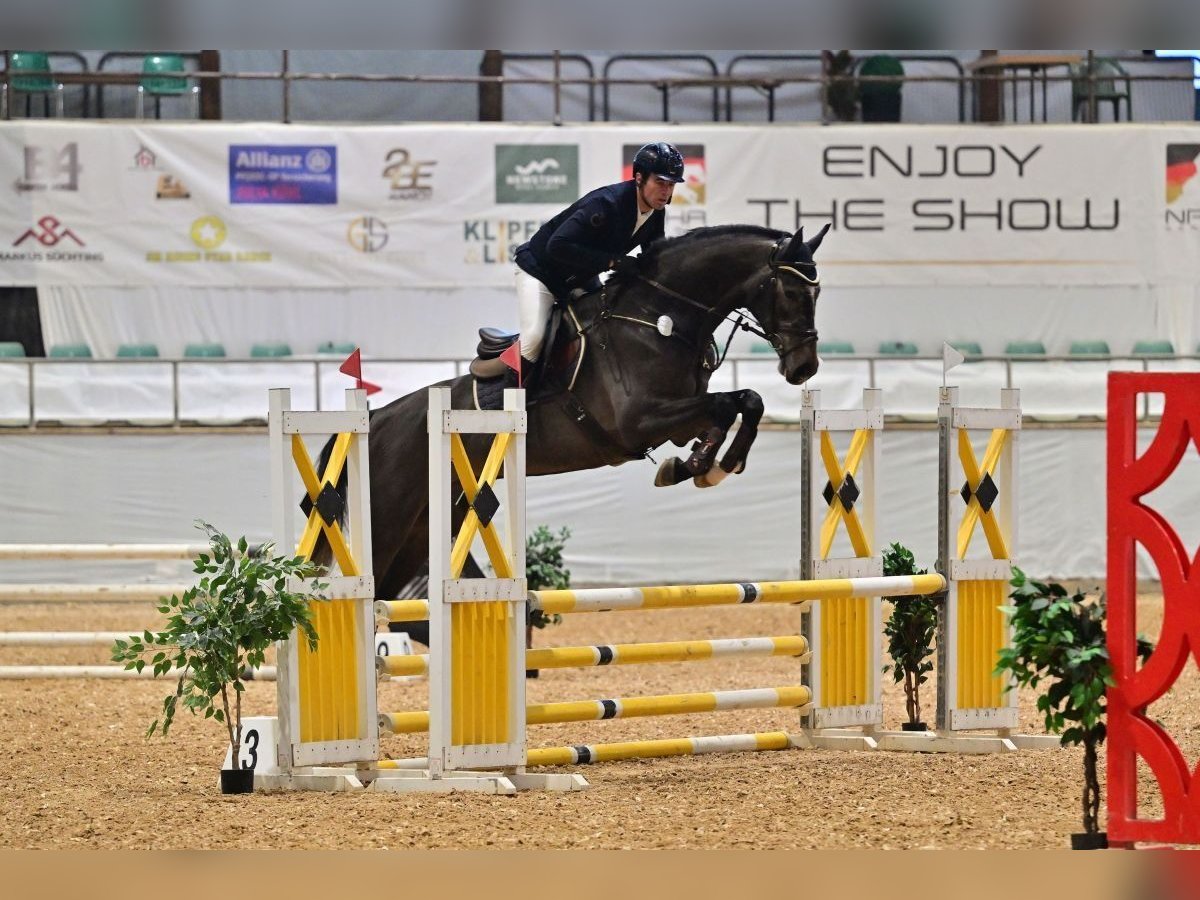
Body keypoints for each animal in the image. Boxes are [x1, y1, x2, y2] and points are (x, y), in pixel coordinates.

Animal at [314, 222, 830, 643]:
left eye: (817, 293)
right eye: (791, 291)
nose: (804, 368)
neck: (660, 317)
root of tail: (379, 419)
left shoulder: (679, 417)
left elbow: (744, 402)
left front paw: (703, 466)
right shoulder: (638, 421)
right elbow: (728, 404)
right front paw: (704, 466)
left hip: (427, 525)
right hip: (389, 519)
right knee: (365, 591)